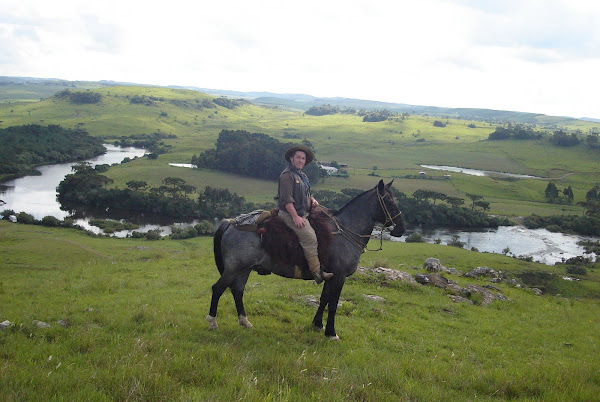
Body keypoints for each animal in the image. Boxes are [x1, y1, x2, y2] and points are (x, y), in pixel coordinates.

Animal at [207, 181, 408, 340]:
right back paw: (212, 323)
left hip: (244, 269)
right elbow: (333, 304)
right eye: (389, 200)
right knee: (218, 288)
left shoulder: (330, 275)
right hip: (234, 268)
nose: (401, 229)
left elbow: (324, 299)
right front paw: (331, 333)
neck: (345, 229)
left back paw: (245, 322)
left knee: (237, 290)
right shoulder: (339, 276)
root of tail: (230, 223)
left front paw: (317, 325)